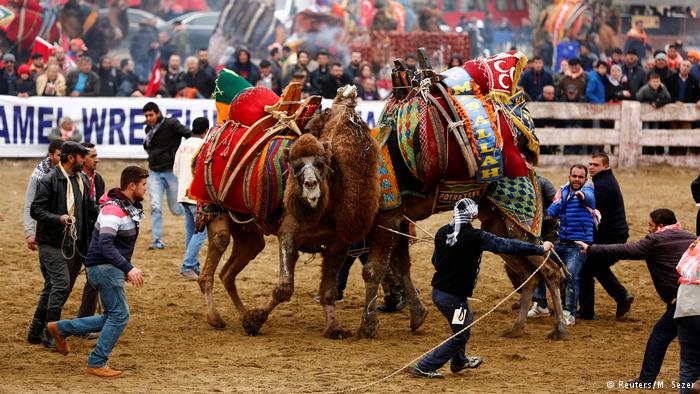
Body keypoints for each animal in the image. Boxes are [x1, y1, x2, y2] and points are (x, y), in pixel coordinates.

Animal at [197, 86, 382, 338]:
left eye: (321, 164)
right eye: (295, 166)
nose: (348, 91)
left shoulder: (338, 244)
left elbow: (328, 291)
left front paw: (334, 327)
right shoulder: (288, 234)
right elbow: (284, 287)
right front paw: (255, 320)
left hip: (248, 230)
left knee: (229, 271)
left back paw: (241, 313)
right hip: (213, 207)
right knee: (216, 252)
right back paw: (215, 317)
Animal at [356, 52, 568, 342]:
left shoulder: (389, 217)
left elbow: (375, 268)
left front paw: (368, 326)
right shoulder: (397, 220)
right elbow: (400, 267)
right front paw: (417, 315)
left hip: (519, 225)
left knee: (549, 269)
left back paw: (559, 328)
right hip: (497, 226)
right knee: (529, 273)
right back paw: (516, 327)